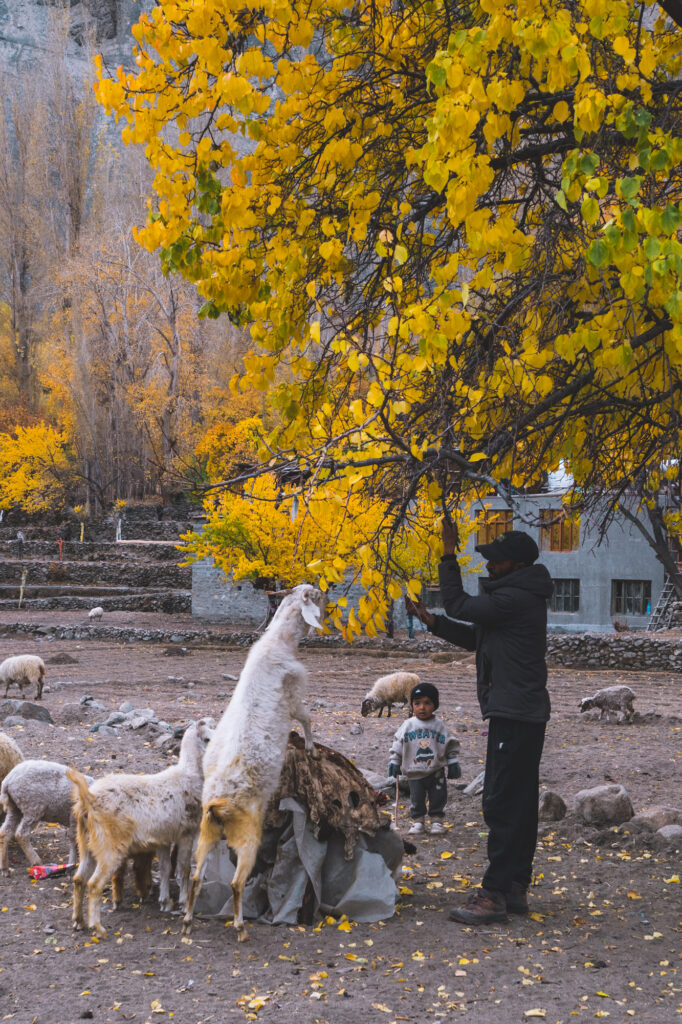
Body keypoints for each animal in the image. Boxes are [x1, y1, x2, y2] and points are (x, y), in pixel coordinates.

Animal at [68, 716, 212, 937]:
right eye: (208, 739)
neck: (188, 774)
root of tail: (87, 798)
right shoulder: (187, 833)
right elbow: (184, 868)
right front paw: (182, 902)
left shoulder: (164, 837)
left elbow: (165, 868)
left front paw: (165, 902)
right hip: (108, 845)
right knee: (94, 884)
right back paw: (98, 928)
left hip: (86, 843)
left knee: (78, 879)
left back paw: (79, 921)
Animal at [182, 585, 325, 942]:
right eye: (313, 595)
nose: (326, 591)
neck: (278, 642)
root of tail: (217, 804)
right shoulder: (294, 697)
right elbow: (307, 718)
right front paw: (312, 748)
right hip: (247, 839)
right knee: (236, 883)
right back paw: (241, 927)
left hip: (205, 837)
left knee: (195, 876)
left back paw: (188, 921)